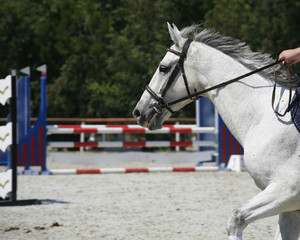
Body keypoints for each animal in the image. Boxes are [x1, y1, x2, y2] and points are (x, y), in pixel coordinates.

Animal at [132, 23, 300, 240]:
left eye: (163, 68)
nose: (139, 112)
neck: (265, 116)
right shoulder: (290, 209)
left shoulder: (287, 191)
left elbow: (236, 219)